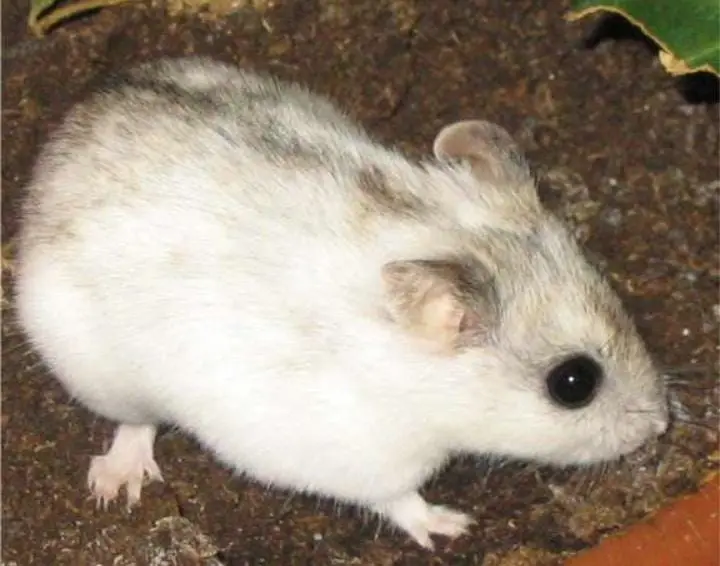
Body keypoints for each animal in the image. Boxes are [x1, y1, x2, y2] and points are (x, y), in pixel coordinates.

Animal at [14, 56, 669, 549]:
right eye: (573, 383)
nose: (660, 426)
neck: (412, 380)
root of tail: (60, 147)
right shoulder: (359, 455)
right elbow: (397, 498)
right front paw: (451, 526)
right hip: (101, 369)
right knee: (135, 423)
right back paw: (116, 483)